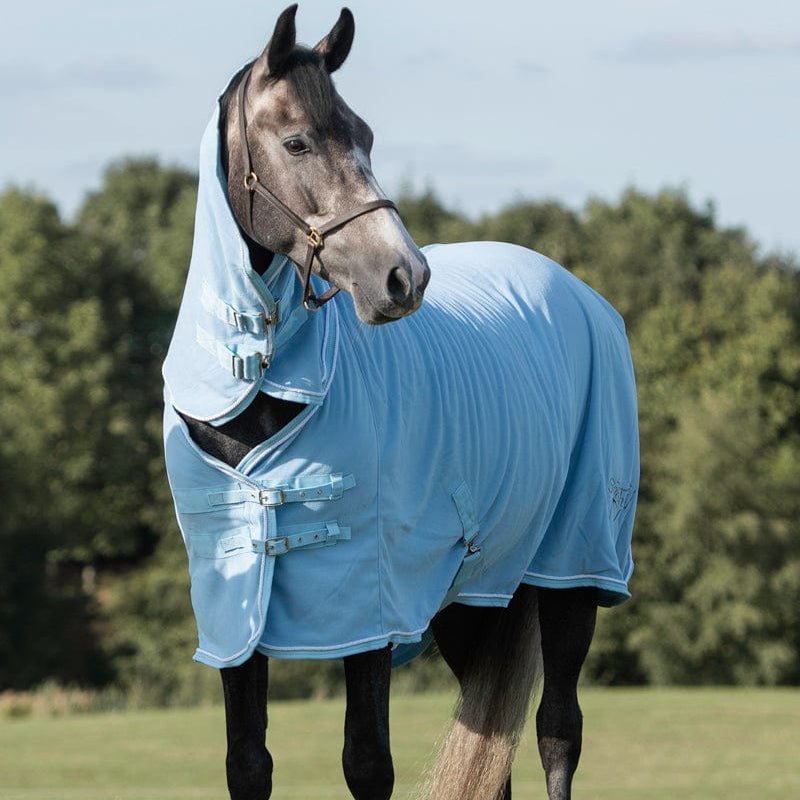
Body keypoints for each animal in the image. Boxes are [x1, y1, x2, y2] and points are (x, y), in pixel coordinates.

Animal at [161, 6, 639, 800]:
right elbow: (248, 762)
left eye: (366, 136)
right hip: (476, 600)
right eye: (296, 141)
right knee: (496, 751)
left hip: (574, 573)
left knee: (556, 732)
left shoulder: (372, 609)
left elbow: (366, 762)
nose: (403, 276)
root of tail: (580, 295)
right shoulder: (236, 619)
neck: (257, 392)